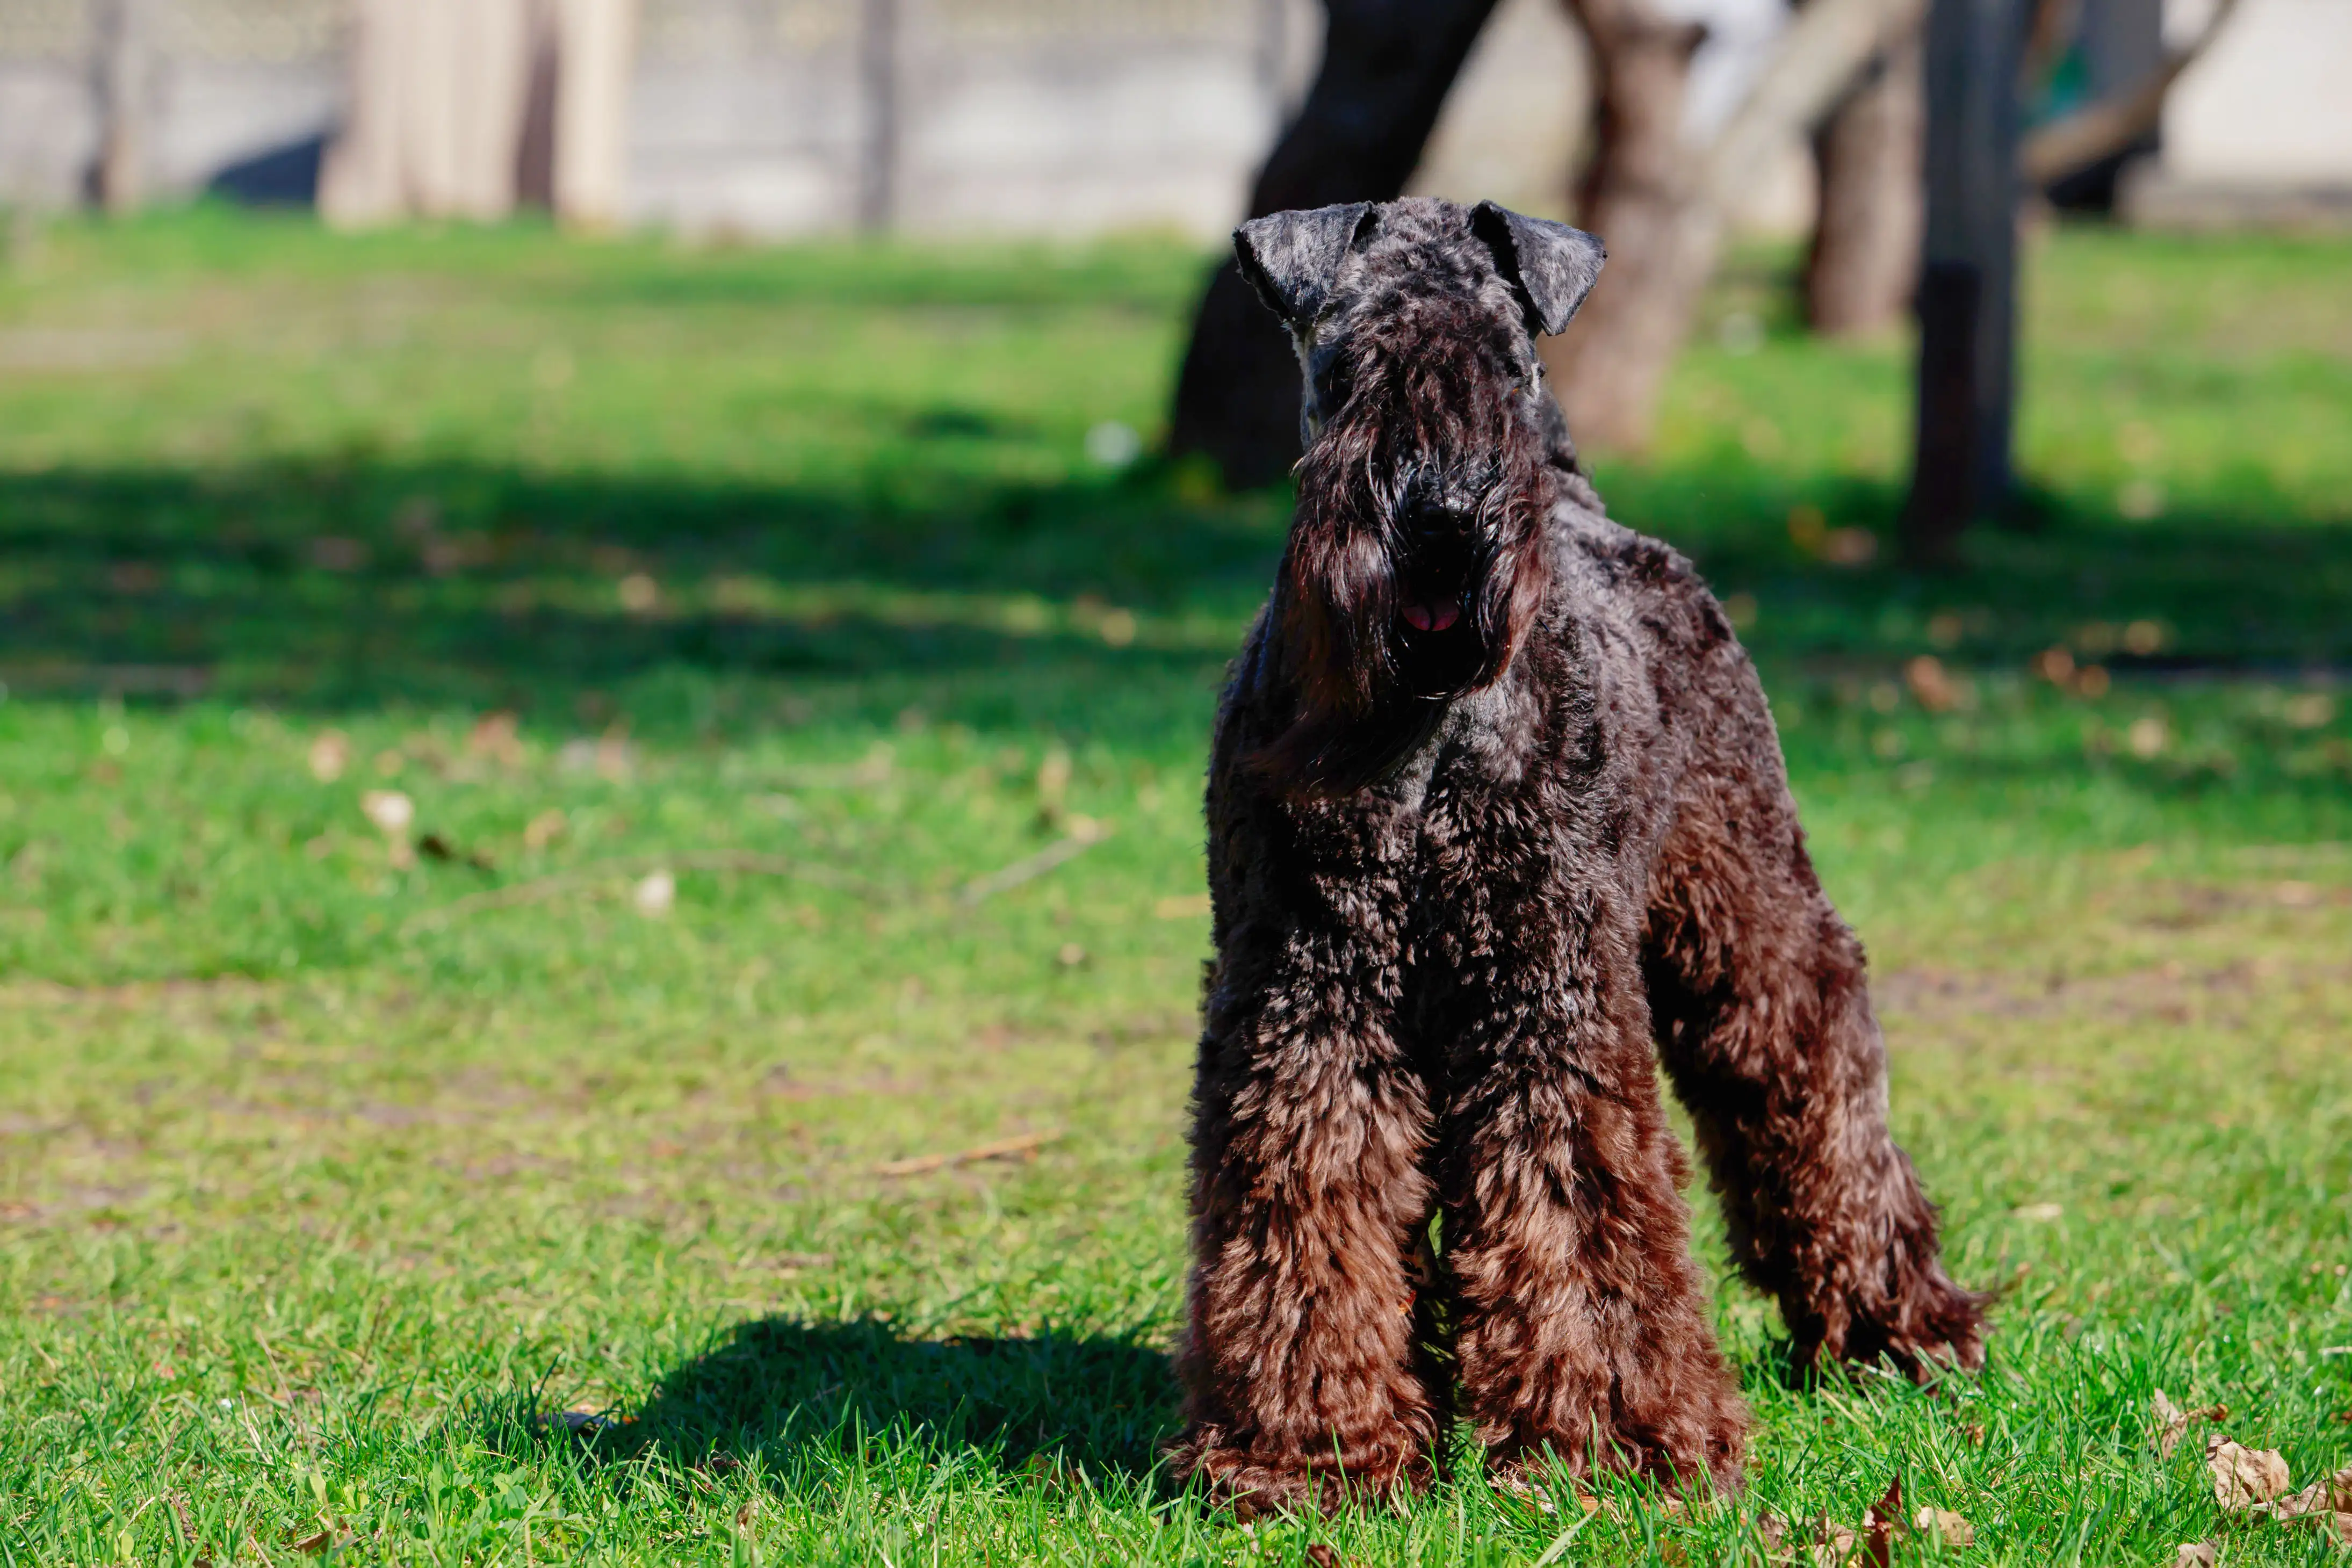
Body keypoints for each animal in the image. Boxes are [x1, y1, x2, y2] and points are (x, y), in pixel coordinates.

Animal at [1171, 199, 1985, 1523]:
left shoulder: (1542, 995)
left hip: (1743, 910)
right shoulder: (1309, 996)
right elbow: (1307, 1201)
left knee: (1809, 1058)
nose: (1444, 520)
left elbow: (1572, 1204)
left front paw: (1609, 1445)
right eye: (1349, 364)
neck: (1427, 736)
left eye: (1508, 363)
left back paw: (1895, 1323)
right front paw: (1311, 1450)